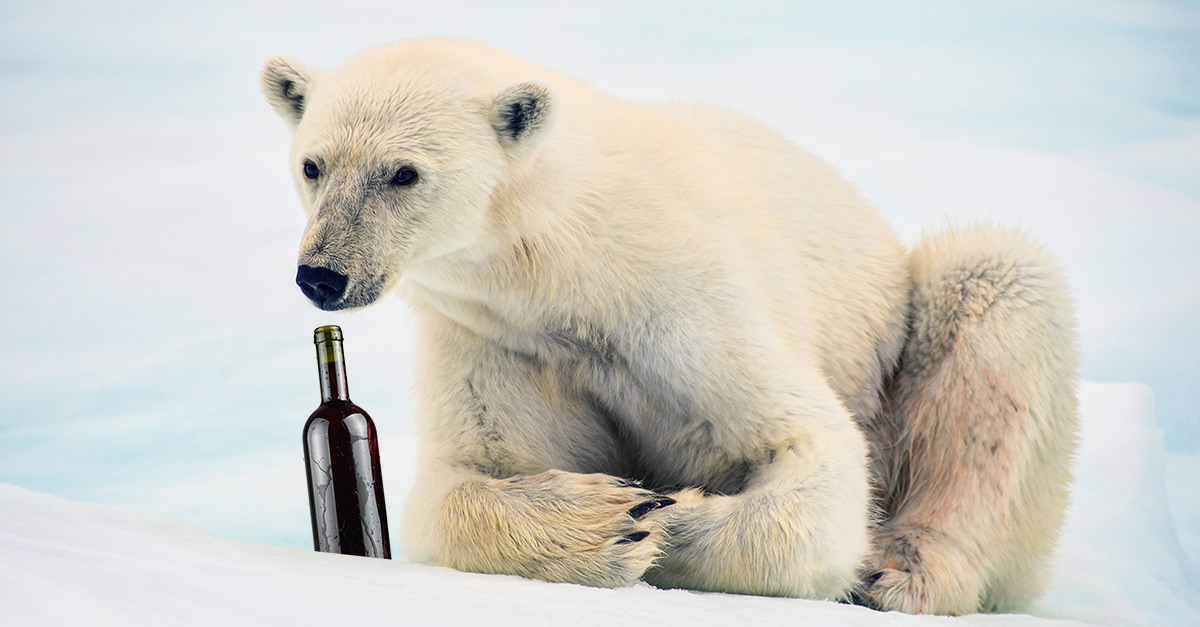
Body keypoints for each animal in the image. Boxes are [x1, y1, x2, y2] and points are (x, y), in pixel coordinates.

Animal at [260, 38, 1079, 615]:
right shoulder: (499, 338)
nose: (323, 275)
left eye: (404, 173)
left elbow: (812, 448)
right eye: (313, 164)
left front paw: (669, 515)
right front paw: (610, 518)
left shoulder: (687, 296)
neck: (566, 264)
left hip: (904, 331)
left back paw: (902, 569)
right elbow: (461, 480)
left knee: (993, 293)